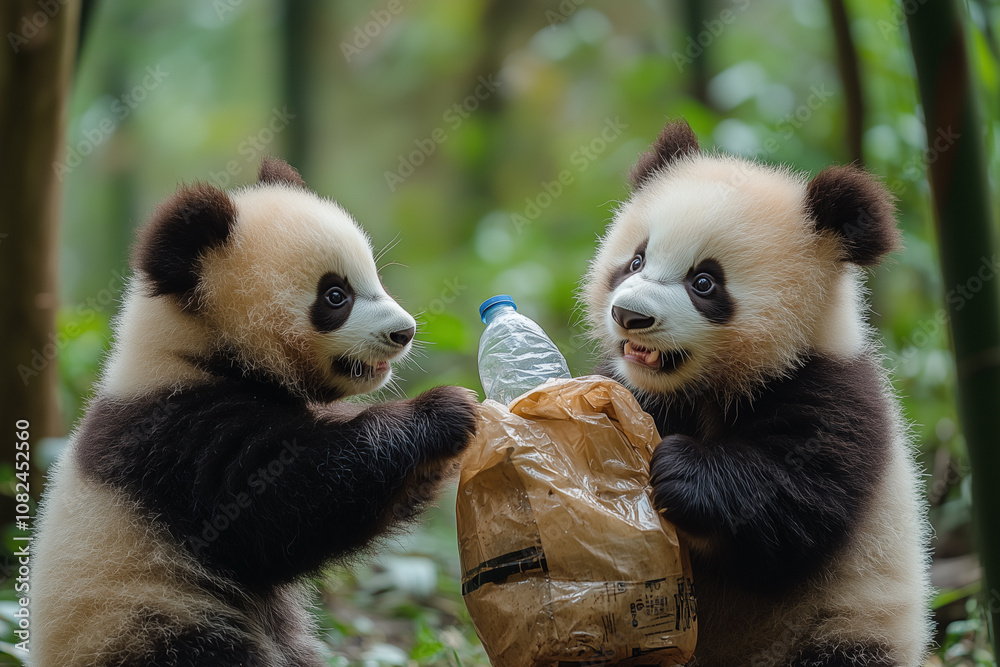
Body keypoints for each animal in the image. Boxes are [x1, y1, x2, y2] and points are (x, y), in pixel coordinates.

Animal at [31, 157, 478, 666]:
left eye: (375, 277)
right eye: (335, 295)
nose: (404, 333)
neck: (193, 351)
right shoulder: (177, 438)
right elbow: (280, 501)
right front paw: (446, 411)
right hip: (150, 617)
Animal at [582, 120, 931, 666]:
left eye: (705, 281)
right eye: (636, 260)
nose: (629, 315)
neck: (713, 385)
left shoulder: (832, 391)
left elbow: (791, 508)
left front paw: (680, 470)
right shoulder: (638, 388)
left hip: (841, 625)